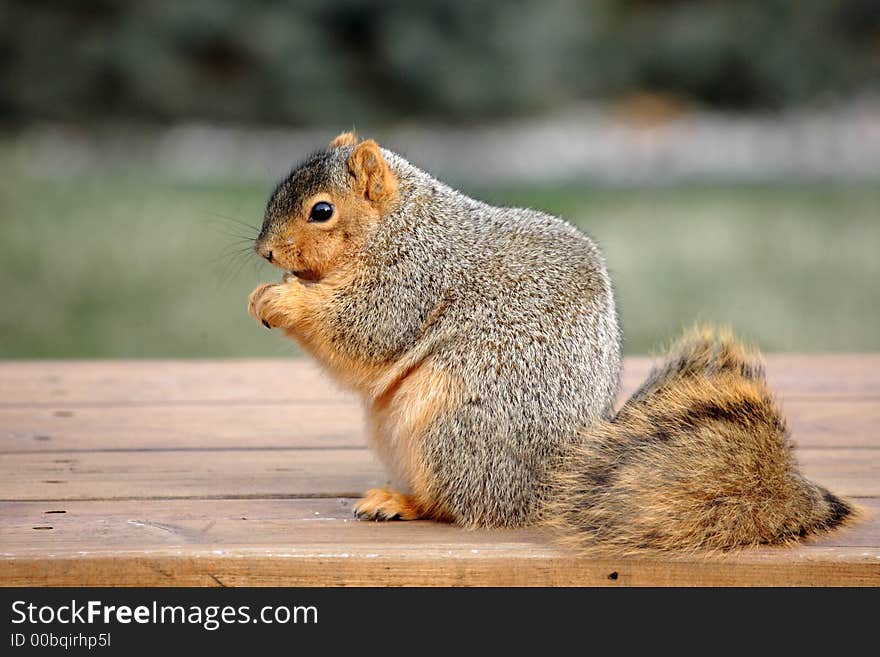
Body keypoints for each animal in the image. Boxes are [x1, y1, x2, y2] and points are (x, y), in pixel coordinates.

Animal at [246, 131, 852, 552]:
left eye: (322, 210)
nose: (266, 253)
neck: (397, 225)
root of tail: (552, 486)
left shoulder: (412, 279)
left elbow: (363, 331)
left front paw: (281, 300)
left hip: (455, 426)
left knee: (462, 504)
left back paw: (401, 502)